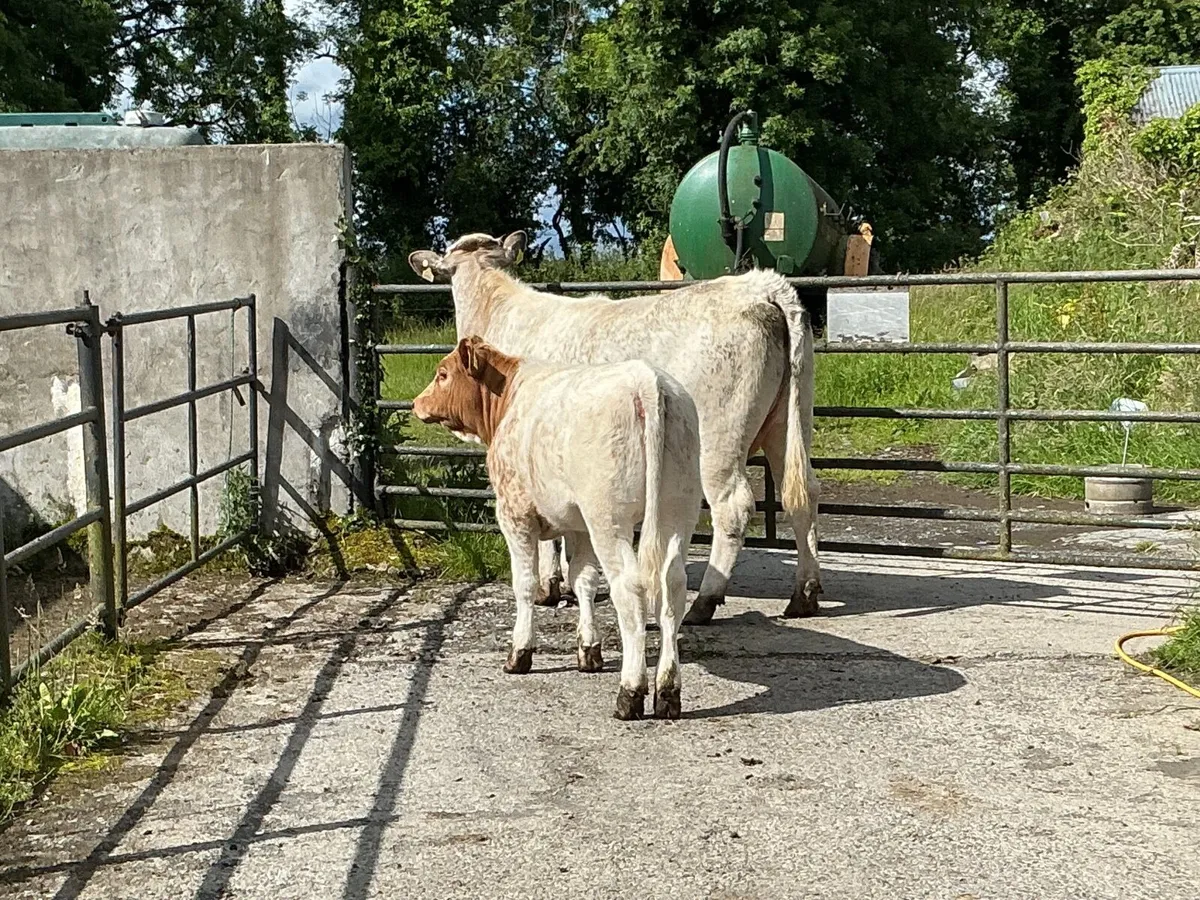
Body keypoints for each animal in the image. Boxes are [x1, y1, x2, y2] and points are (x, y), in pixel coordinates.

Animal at [409, 232, 820, 626]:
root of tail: (759, 286)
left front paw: (548, 586)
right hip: (789, 422)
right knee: (802, 495)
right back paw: (804, 594)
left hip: (719, 437)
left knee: (732, 507)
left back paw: (704, 603)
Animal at [412, 336, 703, 720]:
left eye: (443, 373)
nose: (417, 403)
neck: (508, 398)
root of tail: (646, 379)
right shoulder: (578, 526)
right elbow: (582, 581)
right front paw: (588, 651)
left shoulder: (514, 513)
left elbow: (524, 584)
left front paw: (519, 653)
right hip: (678, 510)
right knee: (672, 588)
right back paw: (668, 692)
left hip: (608, 517)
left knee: (630, 590)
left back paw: (630, 692)